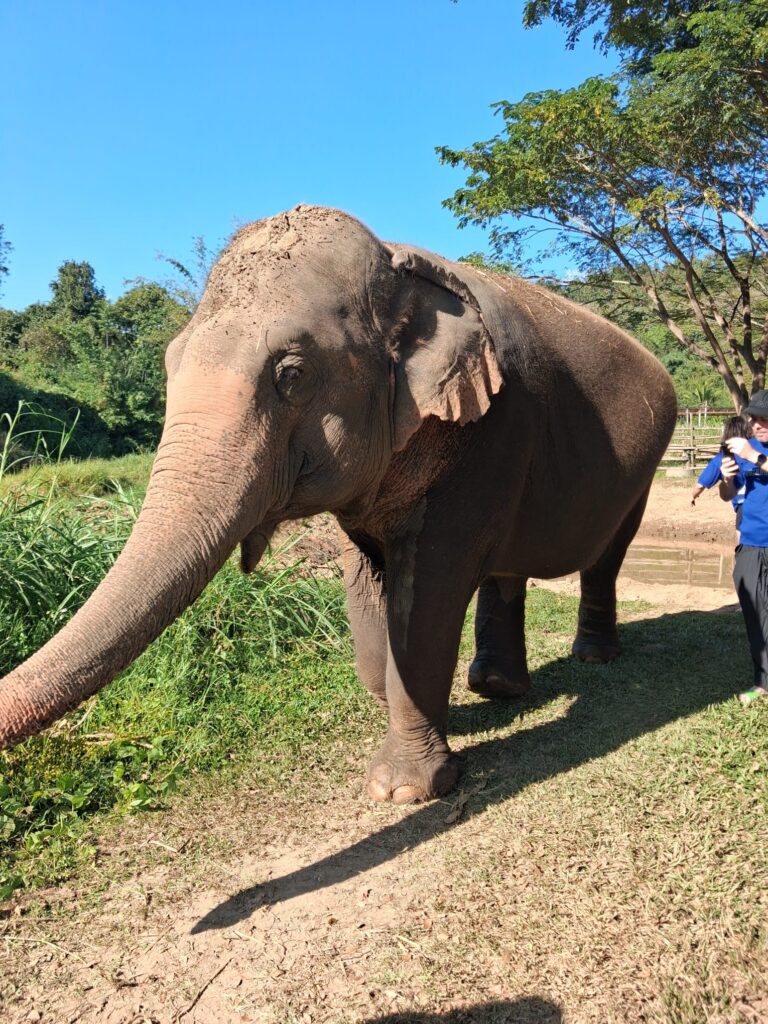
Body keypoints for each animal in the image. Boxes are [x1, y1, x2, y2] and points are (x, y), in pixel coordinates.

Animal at [0, 205, 677, 803]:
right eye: (168, 362)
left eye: (291, 374)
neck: (398, 264)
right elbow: (368, 593)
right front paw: (423, 718)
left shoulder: (491, 433)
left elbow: (427, 597)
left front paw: (401, 790)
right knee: (507, 569)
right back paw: (496, 689)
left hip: (645, 467)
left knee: (607, 558)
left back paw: (592, 658)